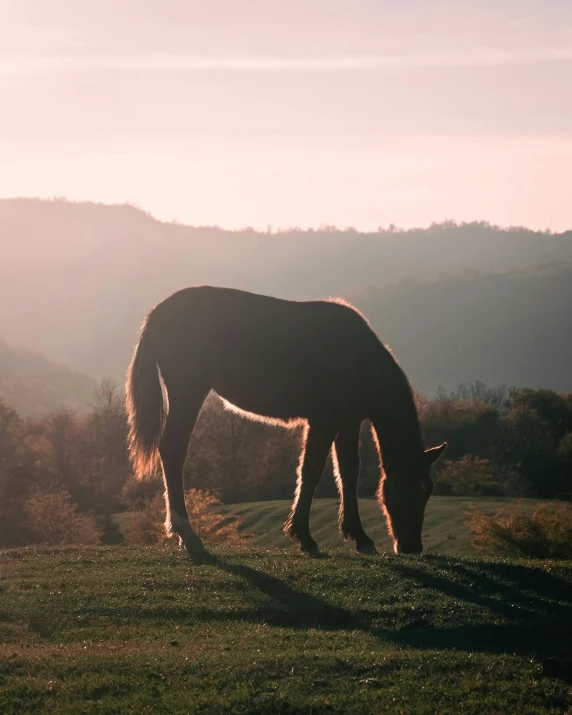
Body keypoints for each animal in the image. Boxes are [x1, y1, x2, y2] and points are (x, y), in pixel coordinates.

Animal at [125, 288, 446, 556]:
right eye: (408, 488)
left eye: (428, 490)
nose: (411, 547)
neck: (358, 356)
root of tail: (156, 315)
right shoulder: (323, 422)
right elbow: (311, 472)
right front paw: (304, 537)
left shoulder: (348, 423)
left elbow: (348, 473)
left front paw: (359, 536)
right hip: (188, 393)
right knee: (173, 450)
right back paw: (188, 534)